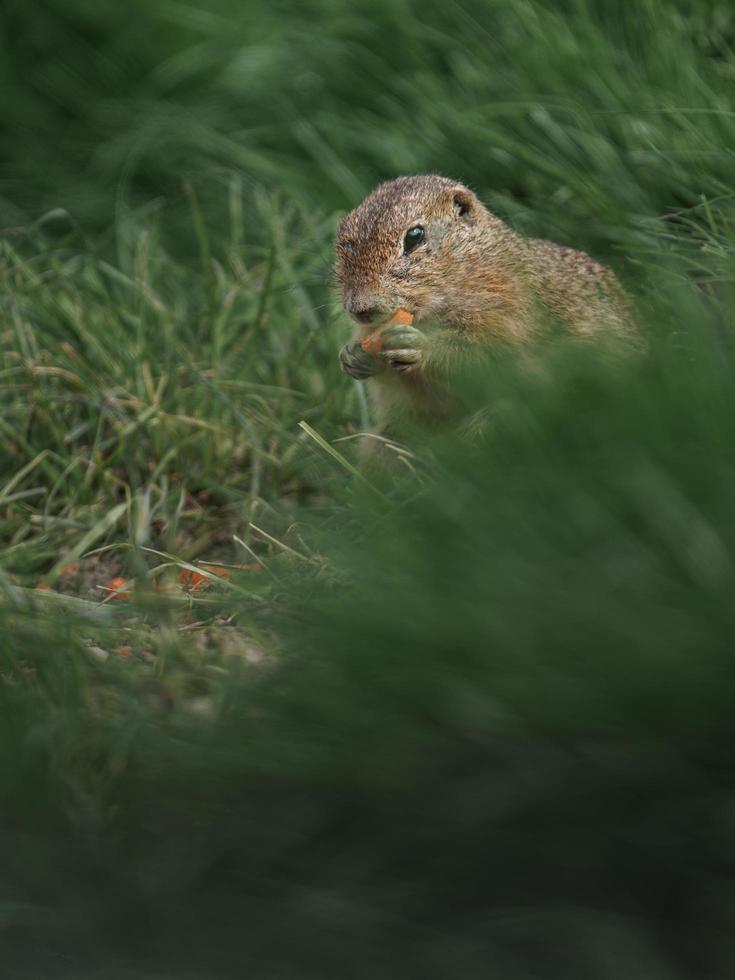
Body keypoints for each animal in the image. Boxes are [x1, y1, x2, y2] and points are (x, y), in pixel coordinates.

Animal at [338, 175, 632, 432]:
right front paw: (352, 355)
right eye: (343, 239)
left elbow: (483, 360)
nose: (361, 309)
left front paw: (416, 346)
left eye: (415, 236)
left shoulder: (509, 320)